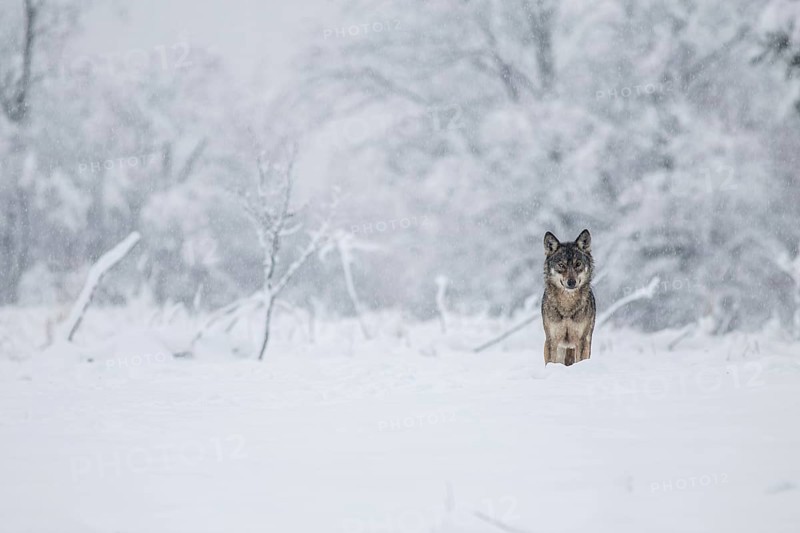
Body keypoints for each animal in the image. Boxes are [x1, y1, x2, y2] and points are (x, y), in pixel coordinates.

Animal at [541, 229, 596, 366]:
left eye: (578, 264)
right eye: (561, 265)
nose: (571, 282)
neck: (567, 306)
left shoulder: (581, 341)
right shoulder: (552, 340)